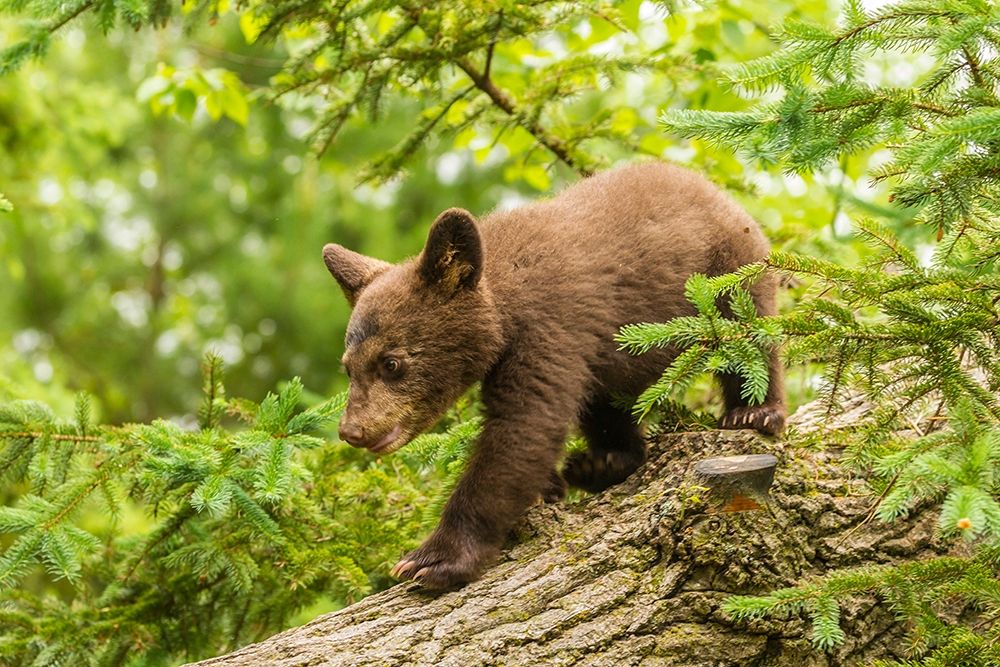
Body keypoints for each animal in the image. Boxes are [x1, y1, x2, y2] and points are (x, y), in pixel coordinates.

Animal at [322, 161, 785, 589]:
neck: (504, 301)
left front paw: (434, 559)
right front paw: (548, 488)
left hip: (729, 271)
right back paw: (601, 462)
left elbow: (523, 427)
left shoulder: (548, 326)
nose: (352, 430)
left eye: (391, 363)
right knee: (604, 401)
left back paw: (754, 412)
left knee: (750, 339)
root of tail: (708, 186)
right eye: (348, 367)